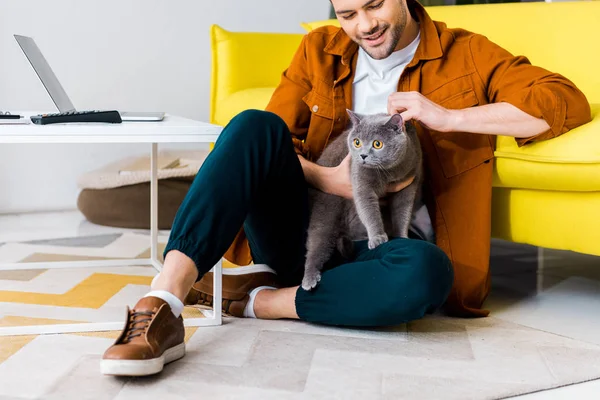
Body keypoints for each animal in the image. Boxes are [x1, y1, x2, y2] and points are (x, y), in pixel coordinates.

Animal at [300, 109, 422, 290]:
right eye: (357, 142)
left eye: (377, 144)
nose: (363, 155)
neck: (389, 173)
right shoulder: (361, 183)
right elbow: (369, 211)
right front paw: (377, 238)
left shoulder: (409, 185)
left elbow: (403, 212)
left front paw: (402, 237)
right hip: (325, 211)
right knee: (316, 243)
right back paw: (309, 279)